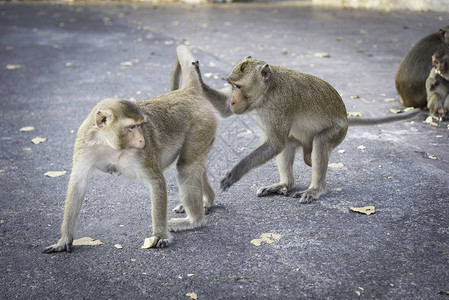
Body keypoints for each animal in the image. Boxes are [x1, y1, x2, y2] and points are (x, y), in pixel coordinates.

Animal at [219, 57, 418, 204]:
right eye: (231, 85)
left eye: (238, 86)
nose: (232, 102)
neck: (269, 90)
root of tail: (346, 117)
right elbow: (277, 144)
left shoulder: (279, 105)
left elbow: (275, 144)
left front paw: (236, 172)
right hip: (303, 139)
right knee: (290, 144)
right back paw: (285, 184)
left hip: (338, 131)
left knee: (320, 142)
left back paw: (315, 189)